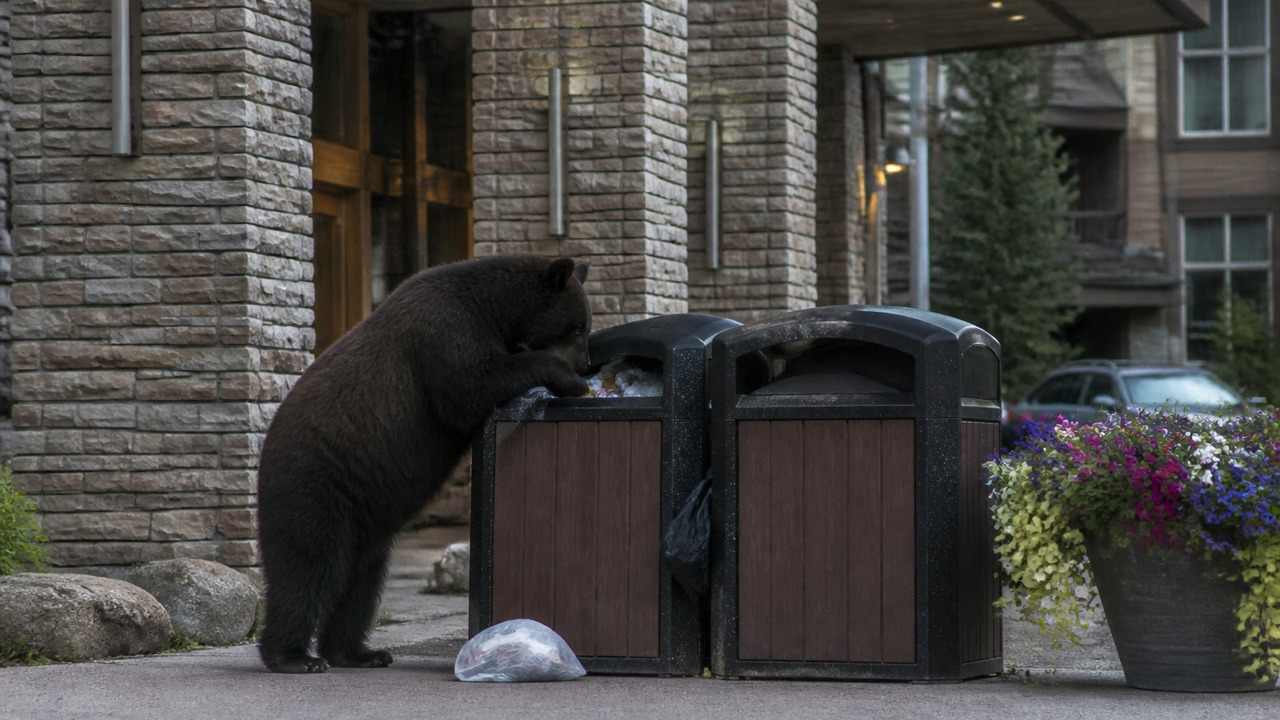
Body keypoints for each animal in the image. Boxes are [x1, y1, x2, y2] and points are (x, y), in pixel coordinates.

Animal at [256, 255, 592, 674]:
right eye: (577, 326)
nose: (587, 365)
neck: (491, 307)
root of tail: (264, 453)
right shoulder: (443, 330)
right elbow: (472, 384)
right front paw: (568, 379)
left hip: (364, 516)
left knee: (360, 580)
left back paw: (359, 652)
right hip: (313, 485)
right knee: (307, 566)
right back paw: (294, 656)